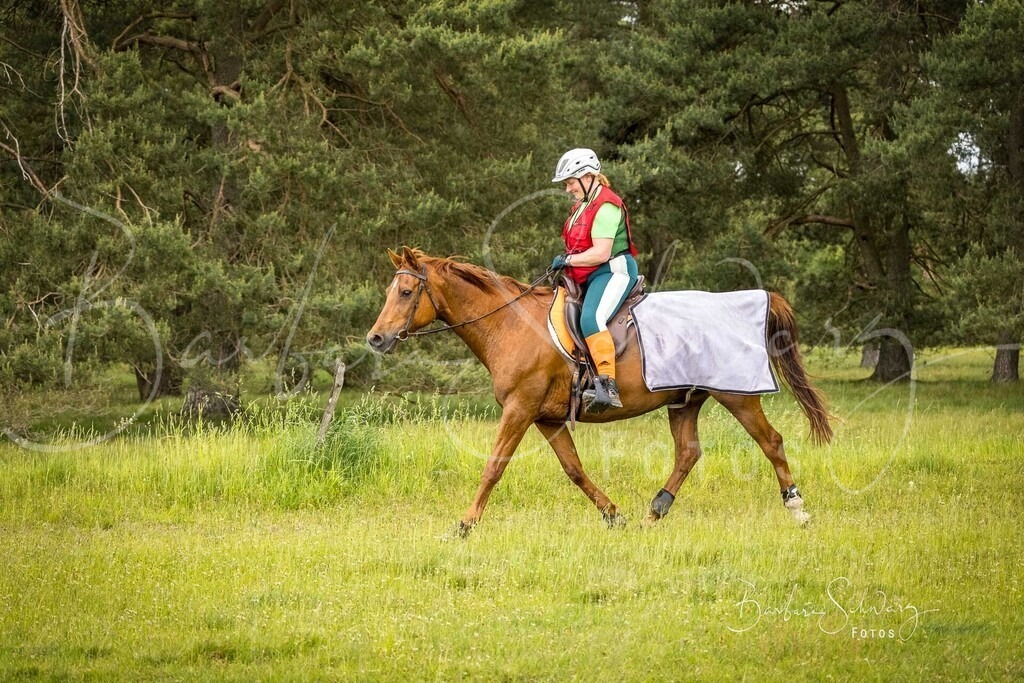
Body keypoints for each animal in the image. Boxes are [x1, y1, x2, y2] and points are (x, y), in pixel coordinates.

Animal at [367, 247, 833, 535]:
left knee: (771, 441)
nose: (375, 339)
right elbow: (574, 469)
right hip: (684, 401)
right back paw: (653, 512)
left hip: (736, 395)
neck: (511, 324)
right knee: (688, 453)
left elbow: (494, 466)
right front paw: (614, 516)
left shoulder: (520, 409)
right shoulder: (547, 417)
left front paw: (464, 525)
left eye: (405, 292)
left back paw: (798, 510)